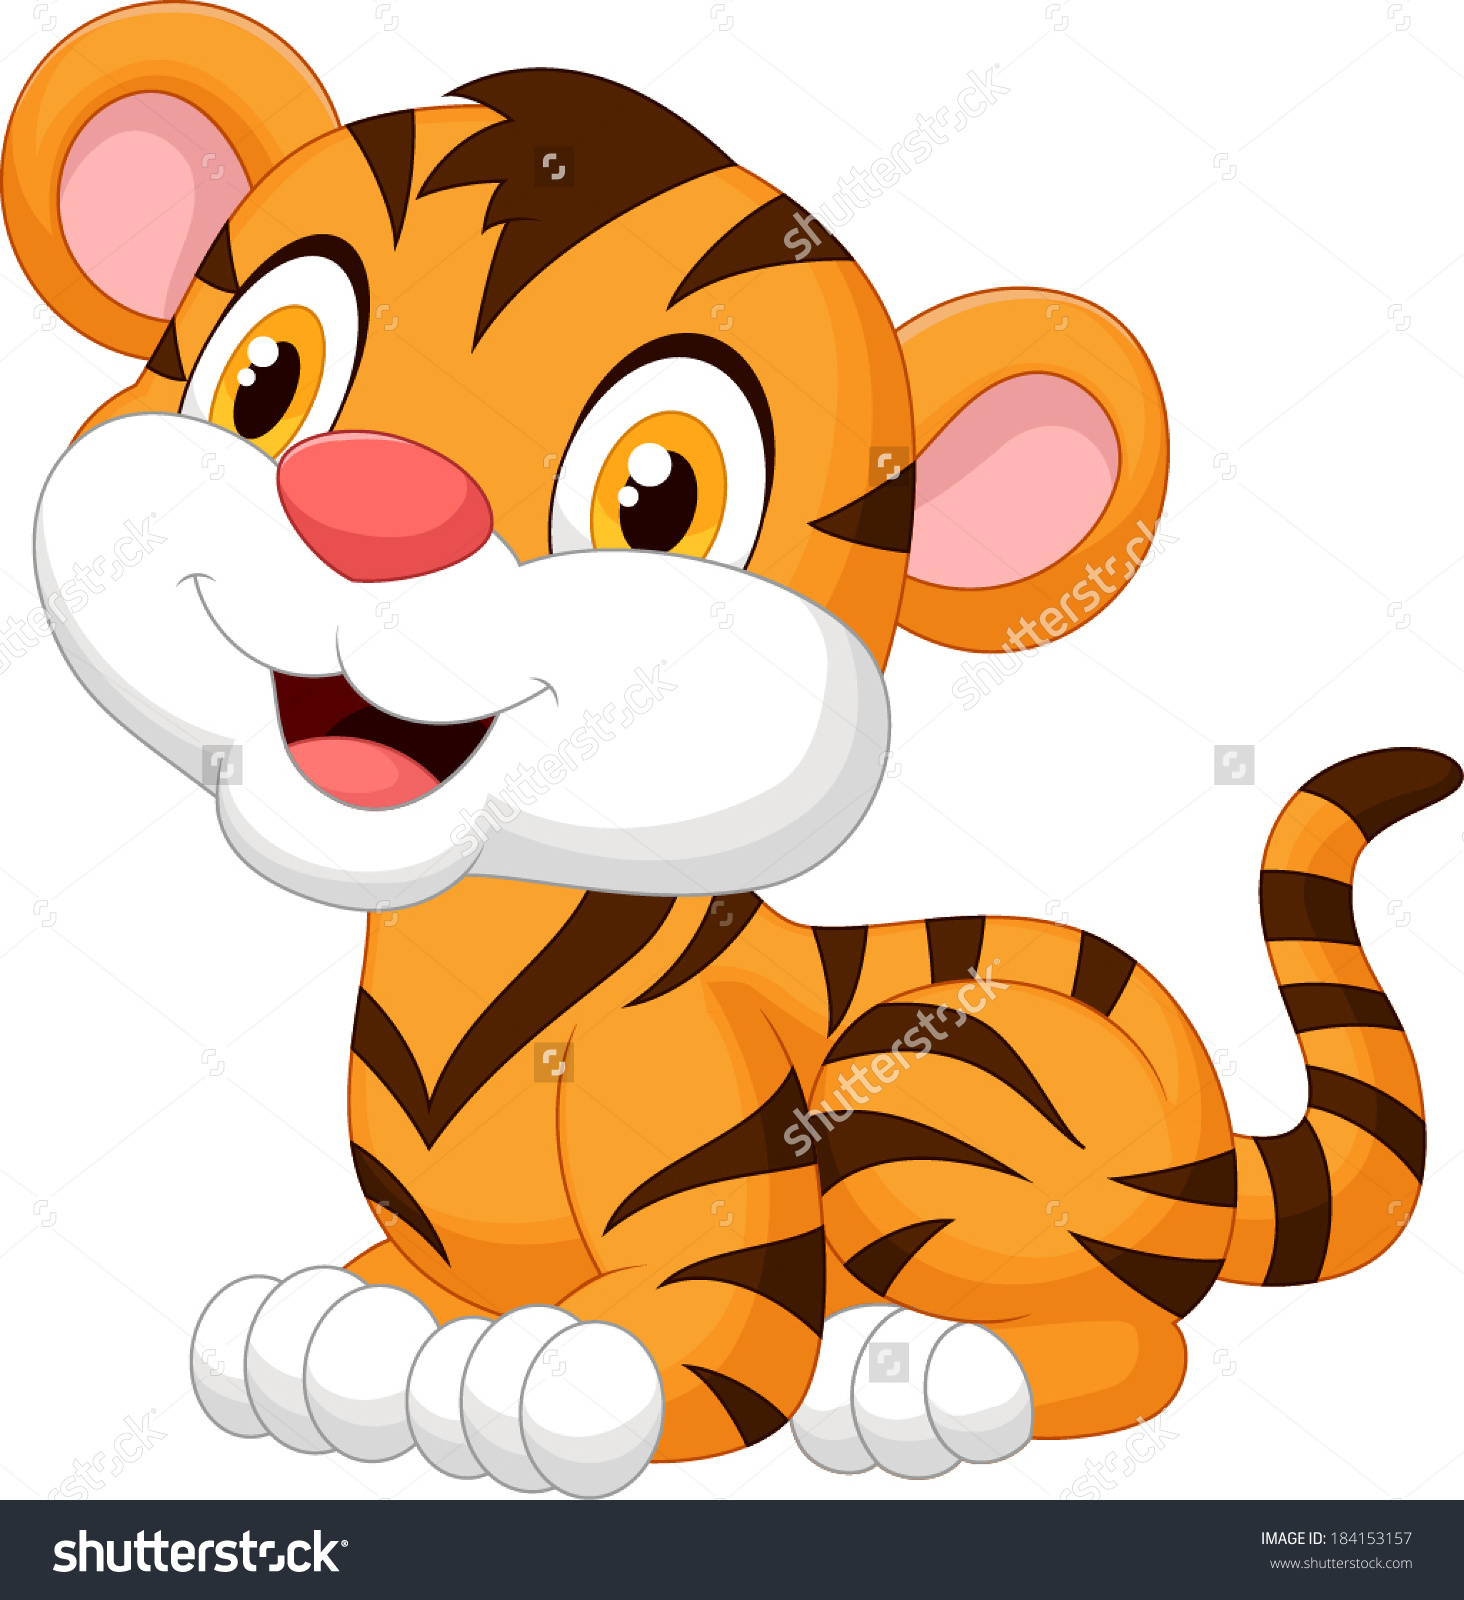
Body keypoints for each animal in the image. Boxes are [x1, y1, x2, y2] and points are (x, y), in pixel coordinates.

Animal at [5, 2, 1459, 1499]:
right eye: (267, 376)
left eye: (658, 492)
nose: (369, 509)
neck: (468, 949)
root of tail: (1218, 1124)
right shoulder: (438, 1244)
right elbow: (382, 1289)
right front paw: (322, 1336)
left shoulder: (726, 1247)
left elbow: (648, 1347)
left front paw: (527, 1377)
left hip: (935, 1080)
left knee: (1136, 1342)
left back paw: (916, 1373)